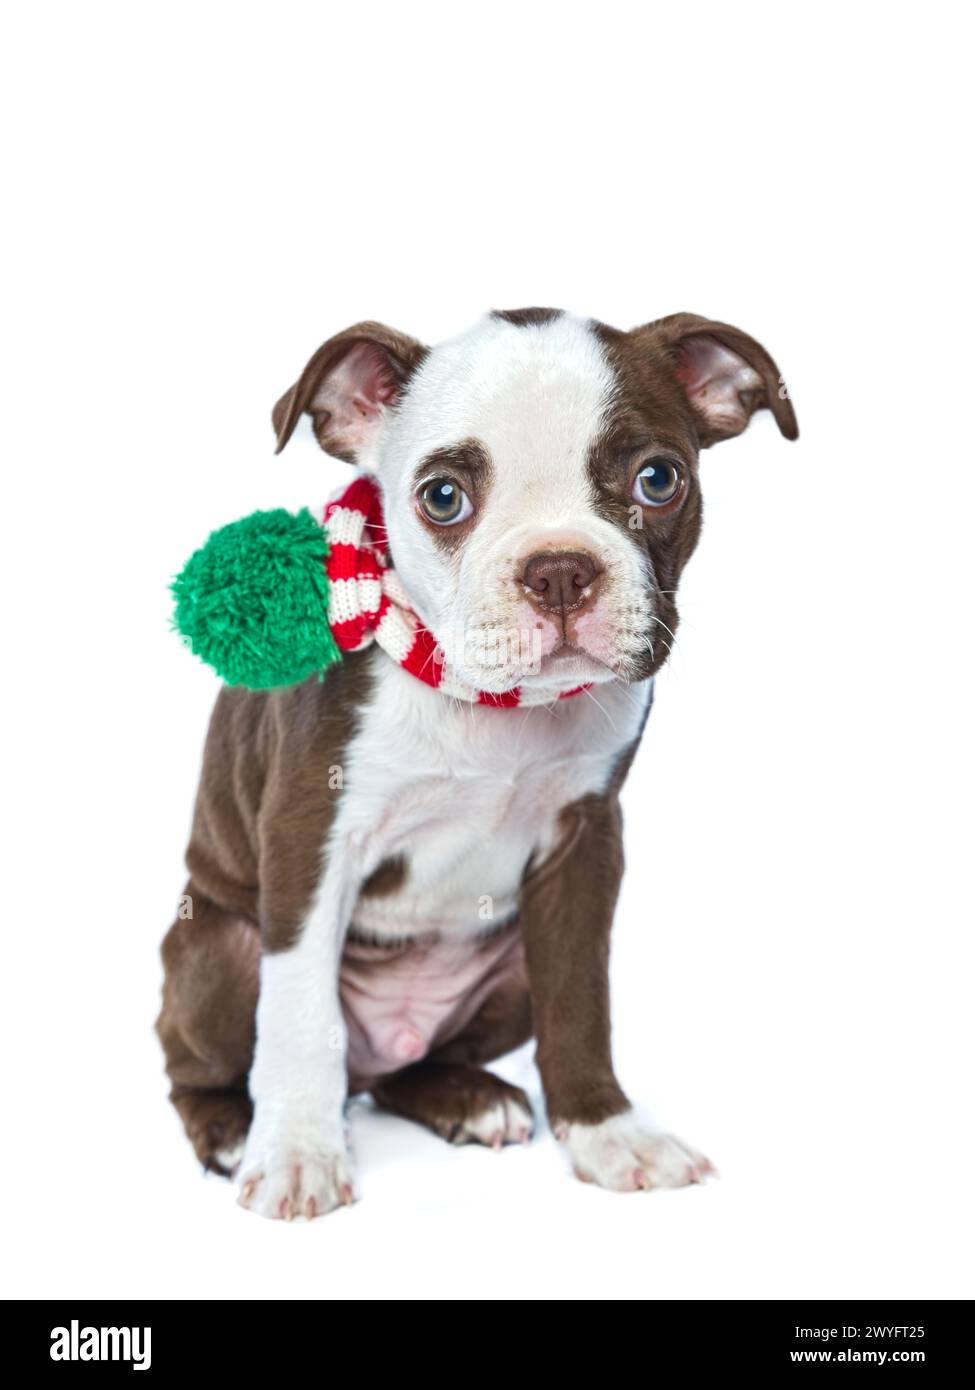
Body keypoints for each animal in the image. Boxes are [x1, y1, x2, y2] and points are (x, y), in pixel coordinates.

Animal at [157, 304, 801, 1217]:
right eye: (442, 497)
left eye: (657, 479)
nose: (560, 569)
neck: (492, 711)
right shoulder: (310, 836)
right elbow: (299, 1013)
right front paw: (297, 1155)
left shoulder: (584, 846)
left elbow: (580, 1000)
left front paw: (606, 1133)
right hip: (216, 947)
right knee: (202, 1059)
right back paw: (232, 1127)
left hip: (503, 973)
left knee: (411, 1069)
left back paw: (466, 1097)